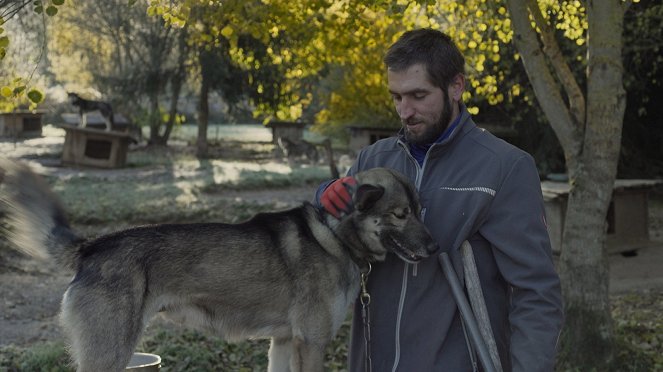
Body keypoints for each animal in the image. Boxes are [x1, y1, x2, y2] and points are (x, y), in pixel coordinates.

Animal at [0, 161, 438, 372]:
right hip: (109, 355)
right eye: (400, 215)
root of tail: (92, 246)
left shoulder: (283, 343)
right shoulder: (310, 344)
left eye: (420, 210)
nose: (436, 247)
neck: (334, 235)